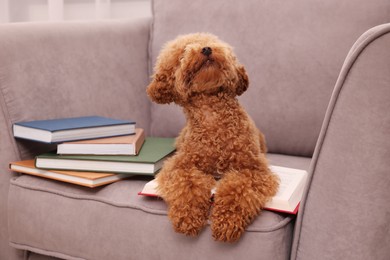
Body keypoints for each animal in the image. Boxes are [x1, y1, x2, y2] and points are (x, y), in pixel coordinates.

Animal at [145, 33, 278, 243]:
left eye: (213, 42)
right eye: (183, 52)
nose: (206, 49)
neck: (212, 117)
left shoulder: (254, 170)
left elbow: (237, 190)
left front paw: (227, 221)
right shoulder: (178, 166)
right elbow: (187, 184)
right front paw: (188, 217)